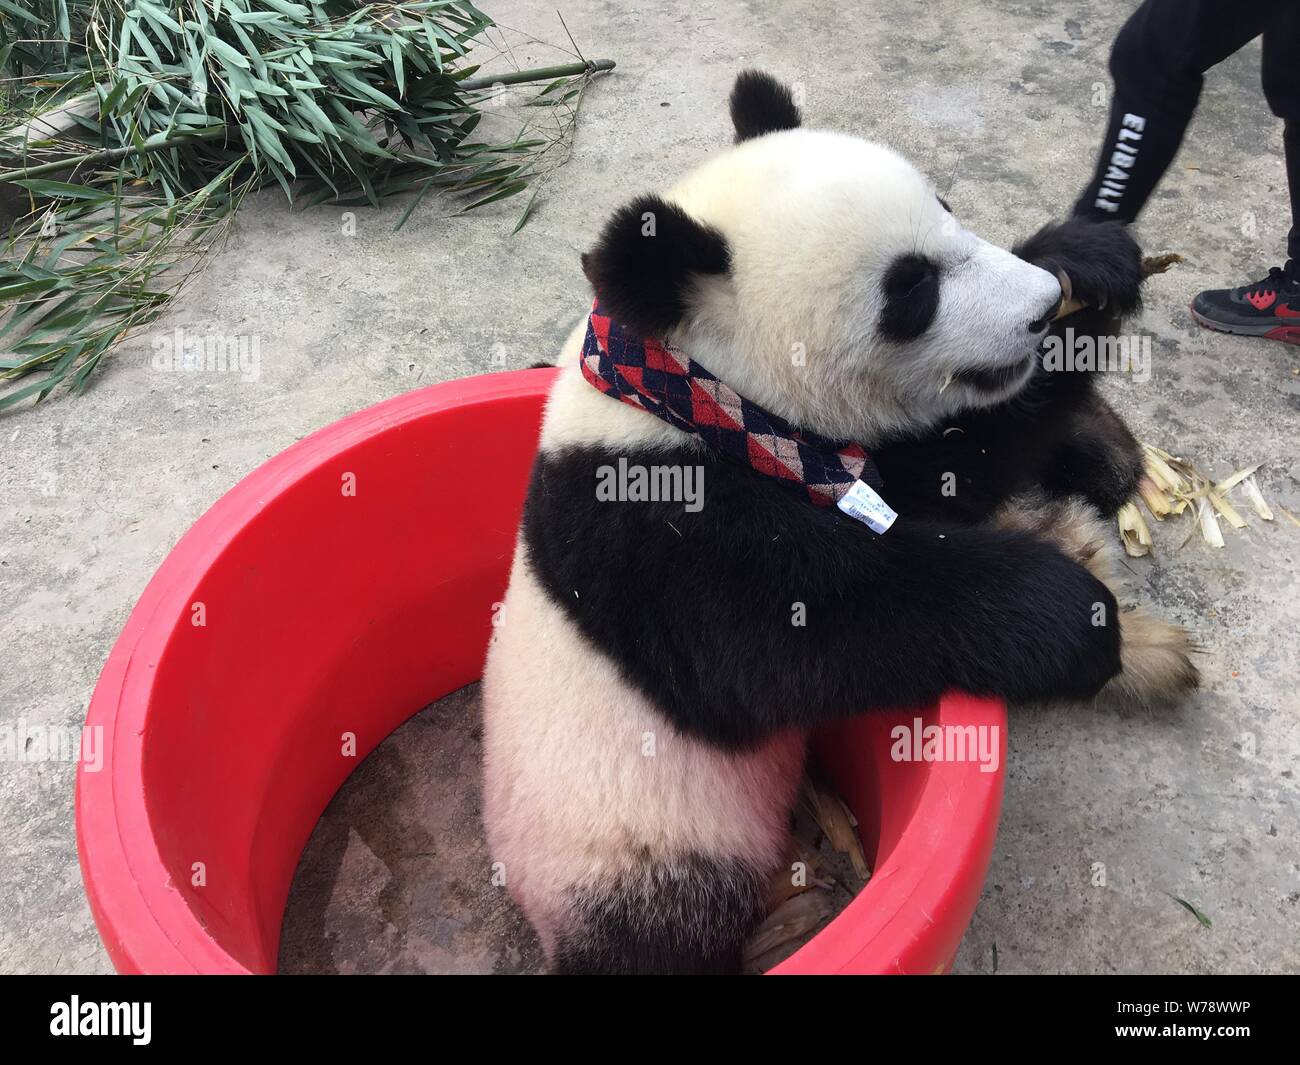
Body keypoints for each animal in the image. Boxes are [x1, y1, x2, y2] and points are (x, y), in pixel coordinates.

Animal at [481, 71, 1198, 975]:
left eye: (947, 205)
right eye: (911, 288)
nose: (1037, 312)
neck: (680, 387)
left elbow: (944, 472)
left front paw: (1089, 266)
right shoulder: (647, 535)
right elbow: (806, 628)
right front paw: (1071, 614)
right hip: (625, 849)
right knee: (655, 927)